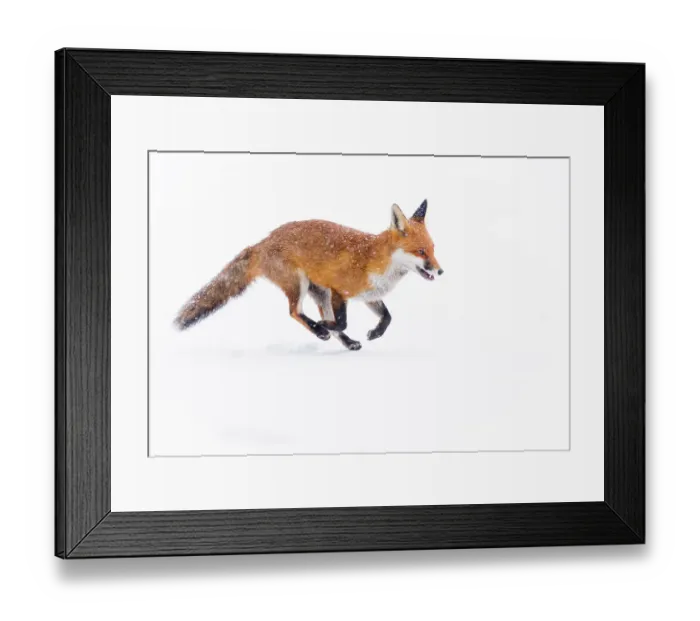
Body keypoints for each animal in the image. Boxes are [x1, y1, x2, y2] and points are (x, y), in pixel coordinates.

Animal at [174, 199, 443, 351]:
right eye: (420, 251)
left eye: (433, 249)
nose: (440, 270)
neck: (374, 261)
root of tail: (262, 242)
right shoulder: (338, 290)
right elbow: (342, 321)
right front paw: (325, 326)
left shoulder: (368, 295)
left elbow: (387, 317)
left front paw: (375, 333)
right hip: (300, 284)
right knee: (295, 312)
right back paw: (319, 329)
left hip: (318, 292)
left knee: (311, 316)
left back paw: (346, 341)